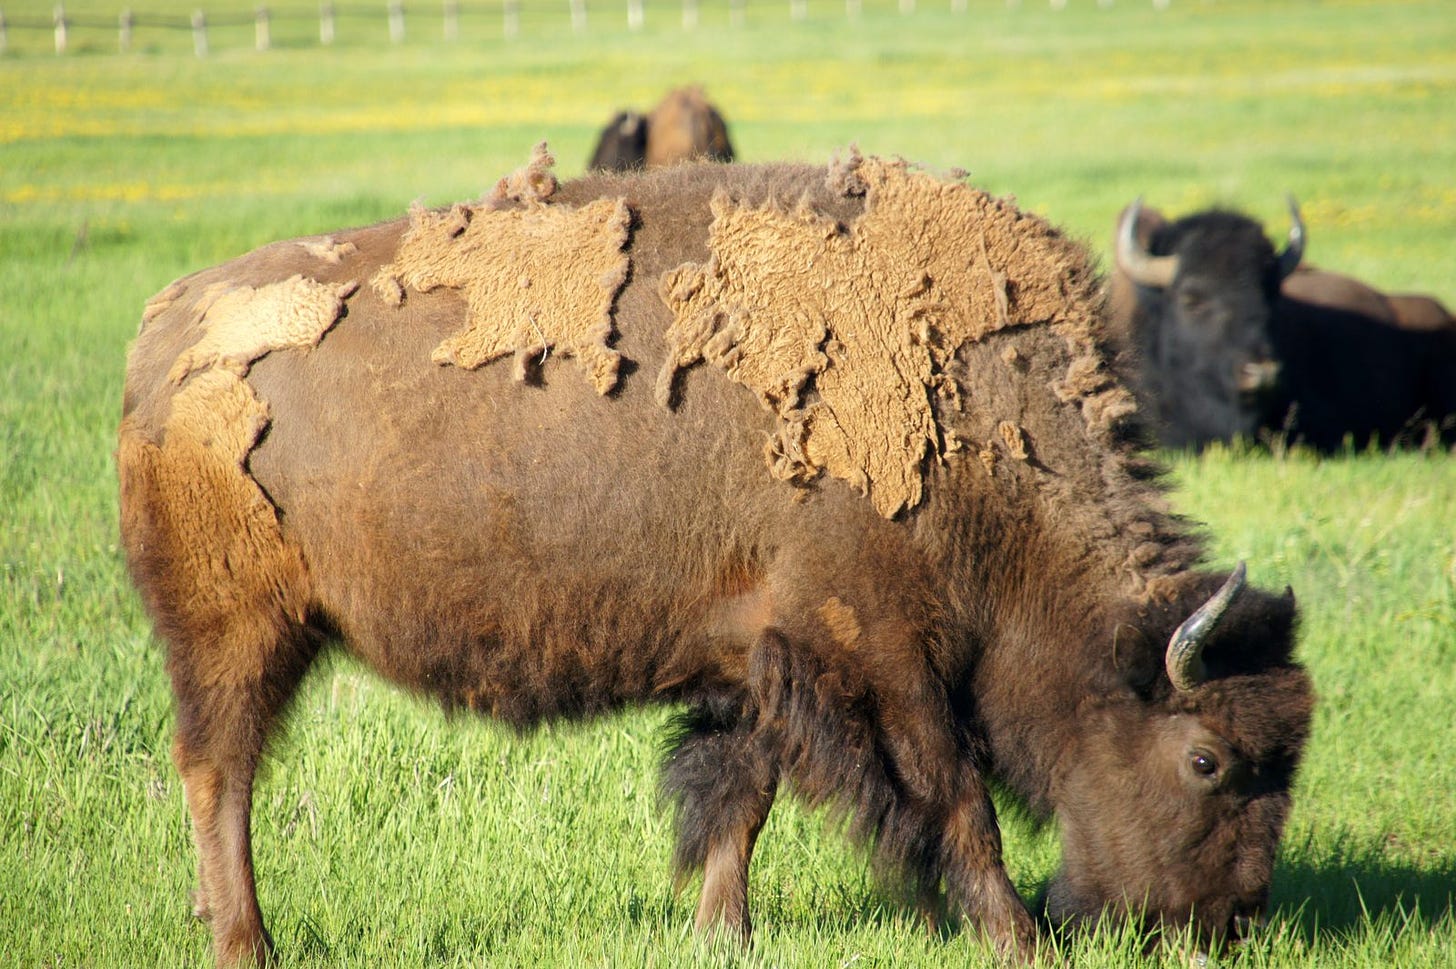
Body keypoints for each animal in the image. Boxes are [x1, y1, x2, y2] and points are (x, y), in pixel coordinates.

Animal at [119, 145, 1316, 966]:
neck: (982, 424)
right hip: (238, 632)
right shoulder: (882, 654)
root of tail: (165, 327)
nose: (1225, 927)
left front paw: (721, 931)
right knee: (220, 773)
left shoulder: (758, 657)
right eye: (1207, 760)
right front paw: (1012, 934)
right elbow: (953, 797)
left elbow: (741, 797)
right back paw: (246, 943)